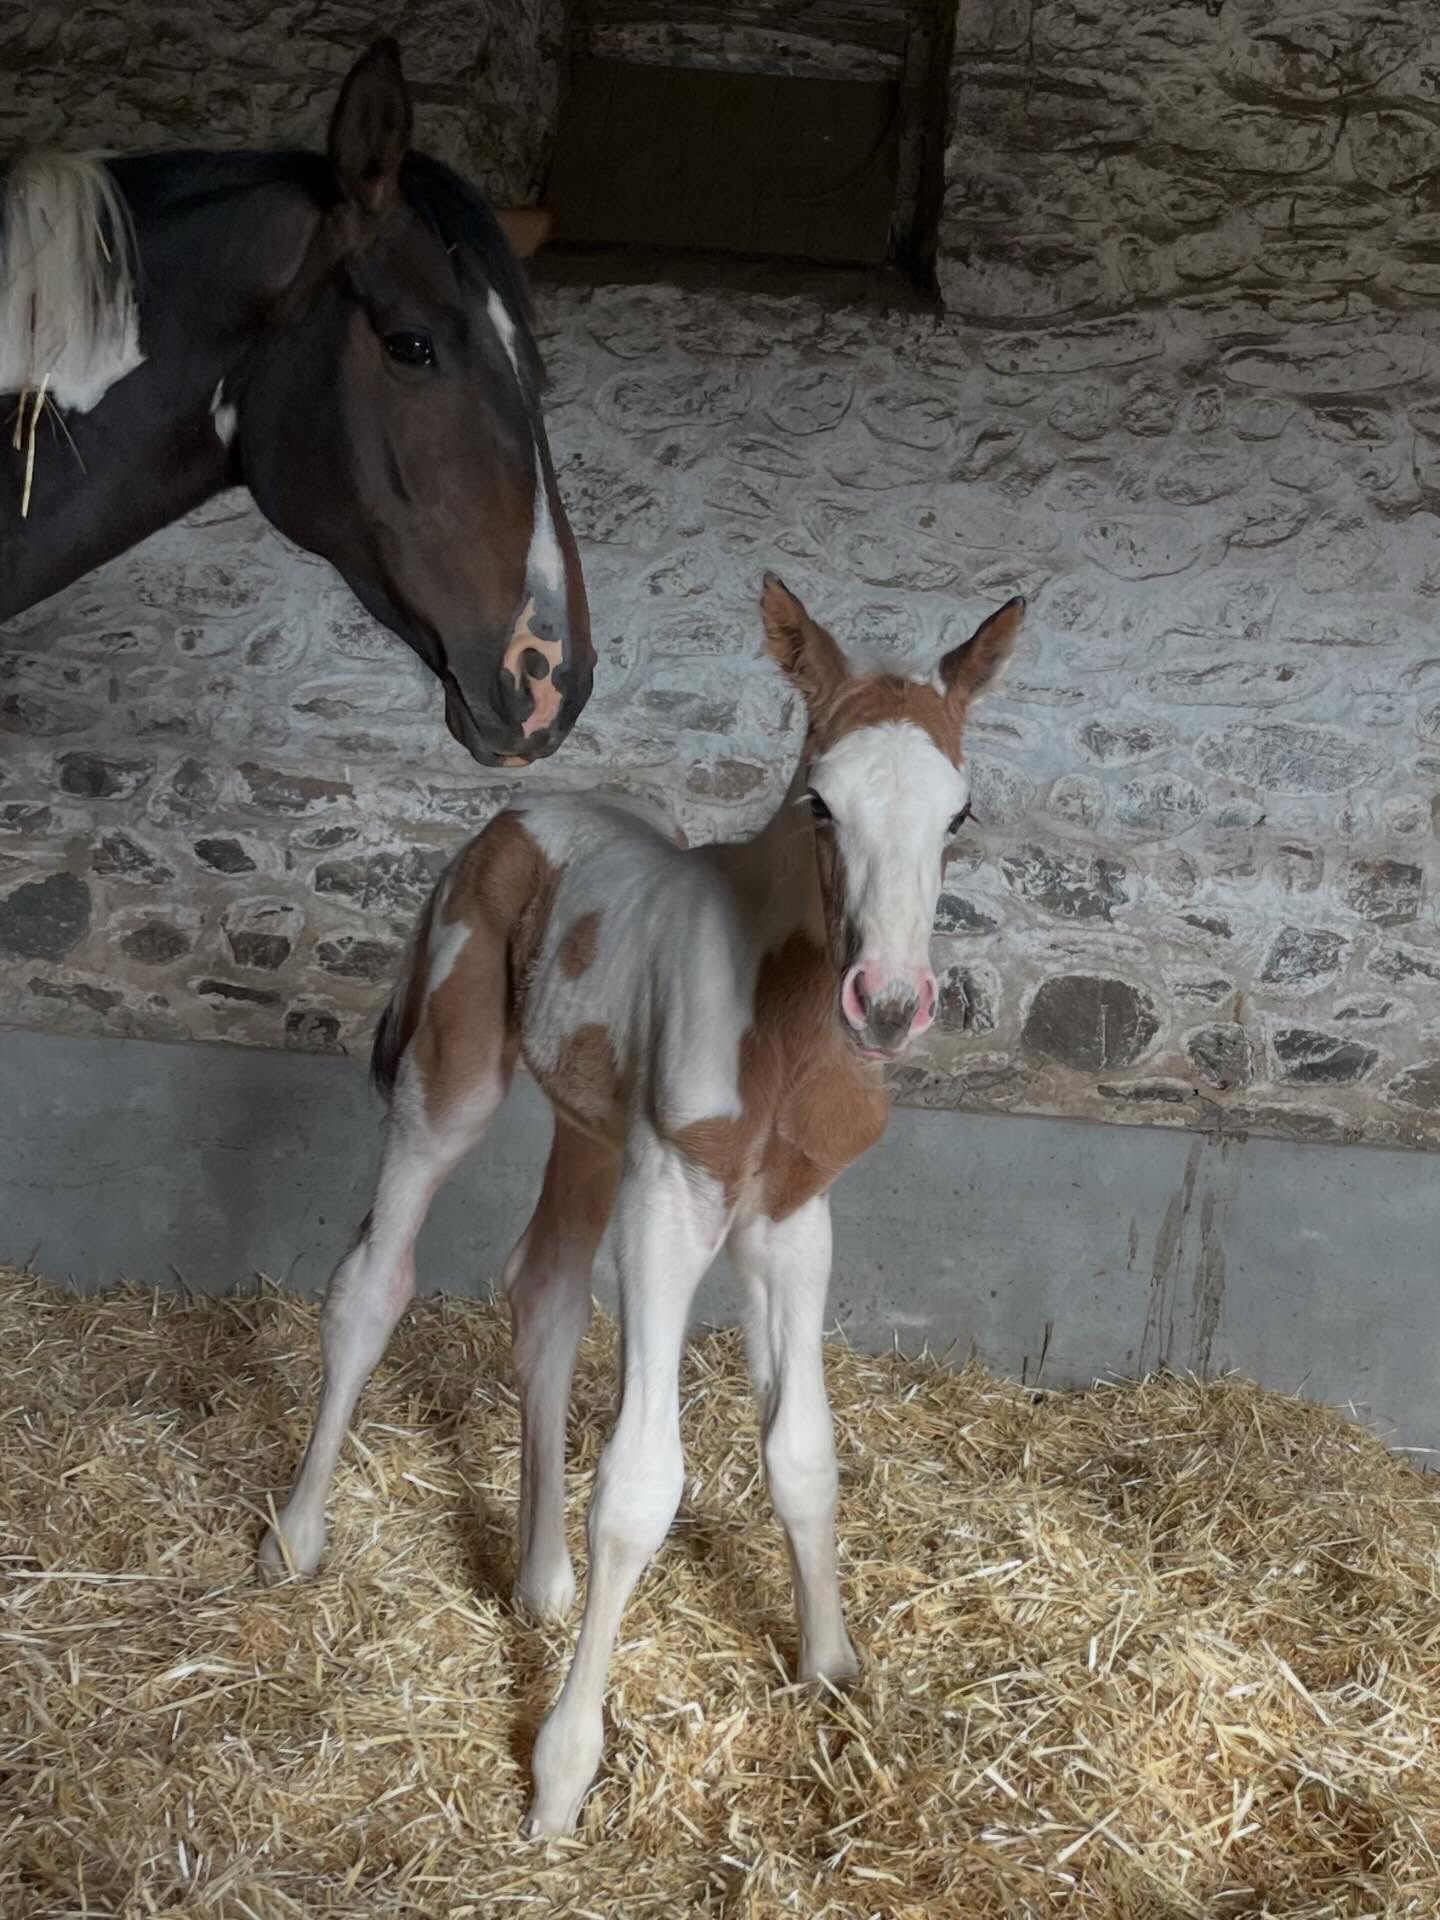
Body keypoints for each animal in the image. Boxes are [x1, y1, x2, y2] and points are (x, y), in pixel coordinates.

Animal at [259, 574, 1026, 1836]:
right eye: (820, 801)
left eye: (958, 815)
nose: (889, 1002)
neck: (782, 1020)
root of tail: (507, 820)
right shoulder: (671, 1202)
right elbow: (640, 1483)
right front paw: (563, 1772)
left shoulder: (790, 1220)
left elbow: (802, 1450)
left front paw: (829, 1669)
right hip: (451, 1082)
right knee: (372, 1282)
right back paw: (297, 1538)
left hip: (586, 1129)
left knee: (543, 1294)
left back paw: (539, 1584)